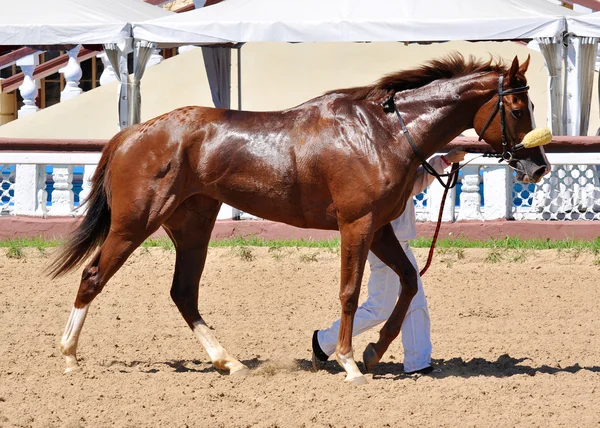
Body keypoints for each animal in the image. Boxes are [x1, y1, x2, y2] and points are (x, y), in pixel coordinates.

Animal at [50, 52, 548, 384]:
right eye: (518, 108)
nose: (538, 166)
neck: (382, 131)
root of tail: (134, 133)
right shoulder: (357, 224)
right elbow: (349, 293)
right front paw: (349, 363)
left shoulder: (380, 227)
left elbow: (407, 282)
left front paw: (372, 352)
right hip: (135, 224)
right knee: (93, 276)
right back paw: (69, 356)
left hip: (193, 227)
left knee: (183, 293)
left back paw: (229, 362)